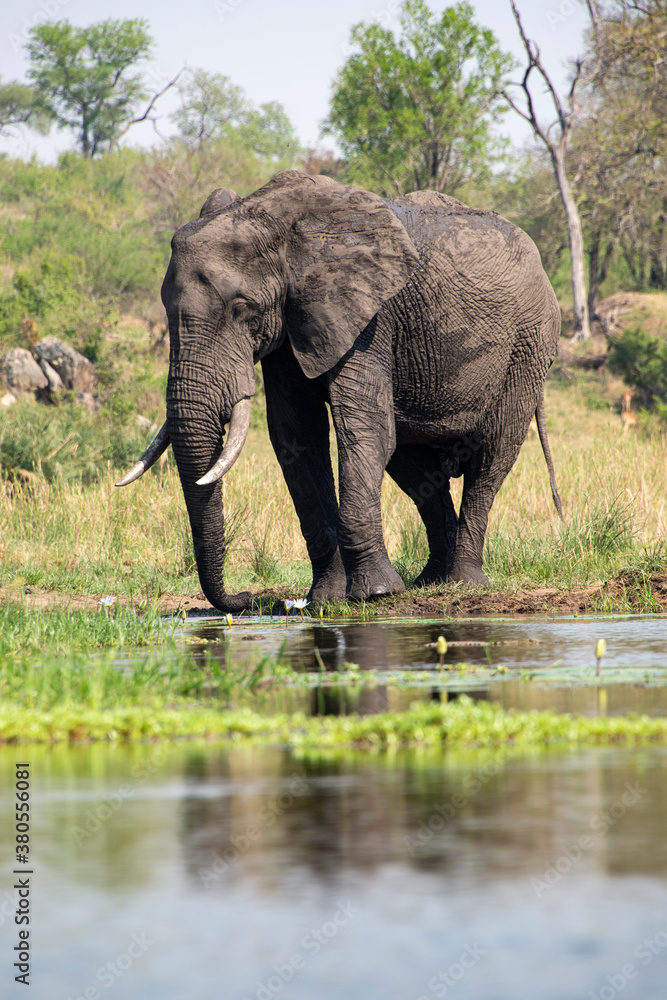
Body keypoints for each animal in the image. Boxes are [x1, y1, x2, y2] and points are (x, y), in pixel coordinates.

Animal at [116, 170, 562, 612]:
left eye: (243, 309)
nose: (244, 598)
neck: (280, 225)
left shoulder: (370, 318)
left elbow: (363, 432)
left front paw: (375, 594)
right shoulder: (293, 319)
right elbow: (297, 437)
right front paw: (325, 600)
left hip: (528, 345)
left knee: (491, 457)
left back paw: (462, 583)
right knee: (415, 469)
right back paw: (428, 581)